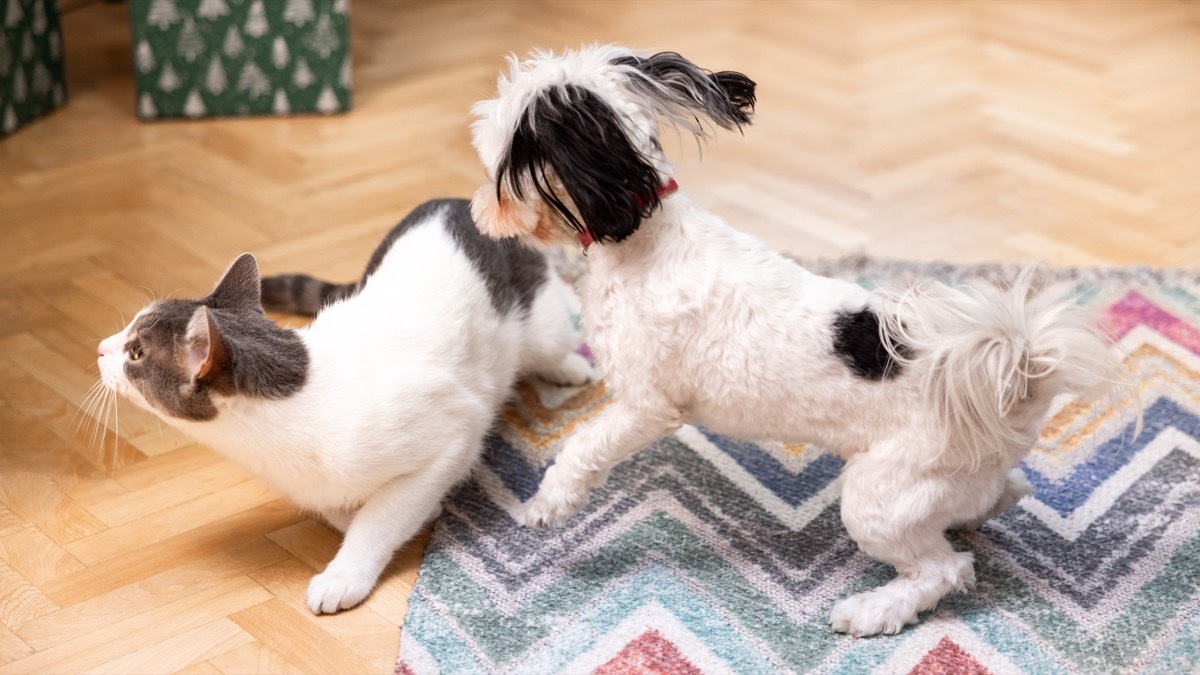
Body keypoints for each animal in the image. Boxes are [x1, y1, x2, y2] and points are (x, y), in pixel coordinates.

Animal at [98, 196, 595, 612]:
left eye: (136, 353)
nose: (100, 348)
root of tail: (454, 201)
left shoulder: (455, 431)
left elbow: (385, 514)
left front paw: (346, 572)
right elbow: (340, 505)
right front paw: (401, 512)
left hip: (540, 322)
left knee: (556, 330)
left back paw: (571, 365)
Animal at [465, 44, 1123, 634]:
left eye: (498, 163)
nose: (476, 208)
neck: (641, 237)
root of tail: (1018, 384)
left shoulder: (648, 405)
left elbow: (582, 447)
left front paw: (550, 504)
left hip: (883, 493)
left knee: (945, 571)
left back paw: (874, 611)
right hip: (946, 483)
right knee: (1005, 492)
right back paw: (974, 516)